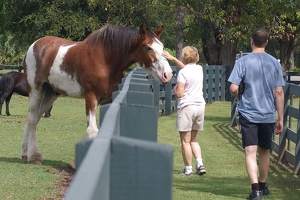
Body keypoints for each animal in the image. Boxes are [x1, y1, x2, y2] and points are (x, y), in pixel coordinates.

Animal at [22, 24, 172, 163]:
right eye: (148, 48)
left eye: (162, 47)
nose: (167, 74)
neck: (105, 59)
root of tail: (34, 45)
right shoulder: (91, 97)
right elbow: (93, 131)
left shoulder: (109, 100)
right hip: (36, 91)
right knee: (32, 119)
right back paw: (33, 155)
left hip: (51, 94)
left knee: (34, 118)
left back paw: (25, 152)